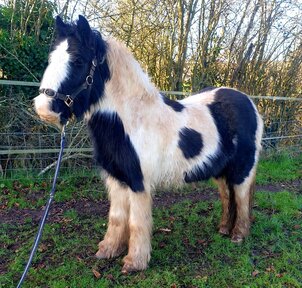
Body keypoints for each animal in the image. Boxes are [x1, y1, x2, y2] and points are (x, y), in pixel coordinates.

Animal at [34, 15, 262, 272]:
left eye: (78, 60)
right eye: (52, 58)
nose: (44, 109)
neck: (131, 119)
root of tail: (248, 102)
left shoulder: (138, 183)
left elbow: (137, 222)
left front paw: (135, 262)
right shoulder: (116, 180)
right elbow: (116, 217)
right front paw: (109, 250)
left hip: (242, 170)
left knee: (241, 198)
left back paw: (238, 235)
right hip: (221, 171)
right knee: (227, 196)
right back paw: (224, 229)